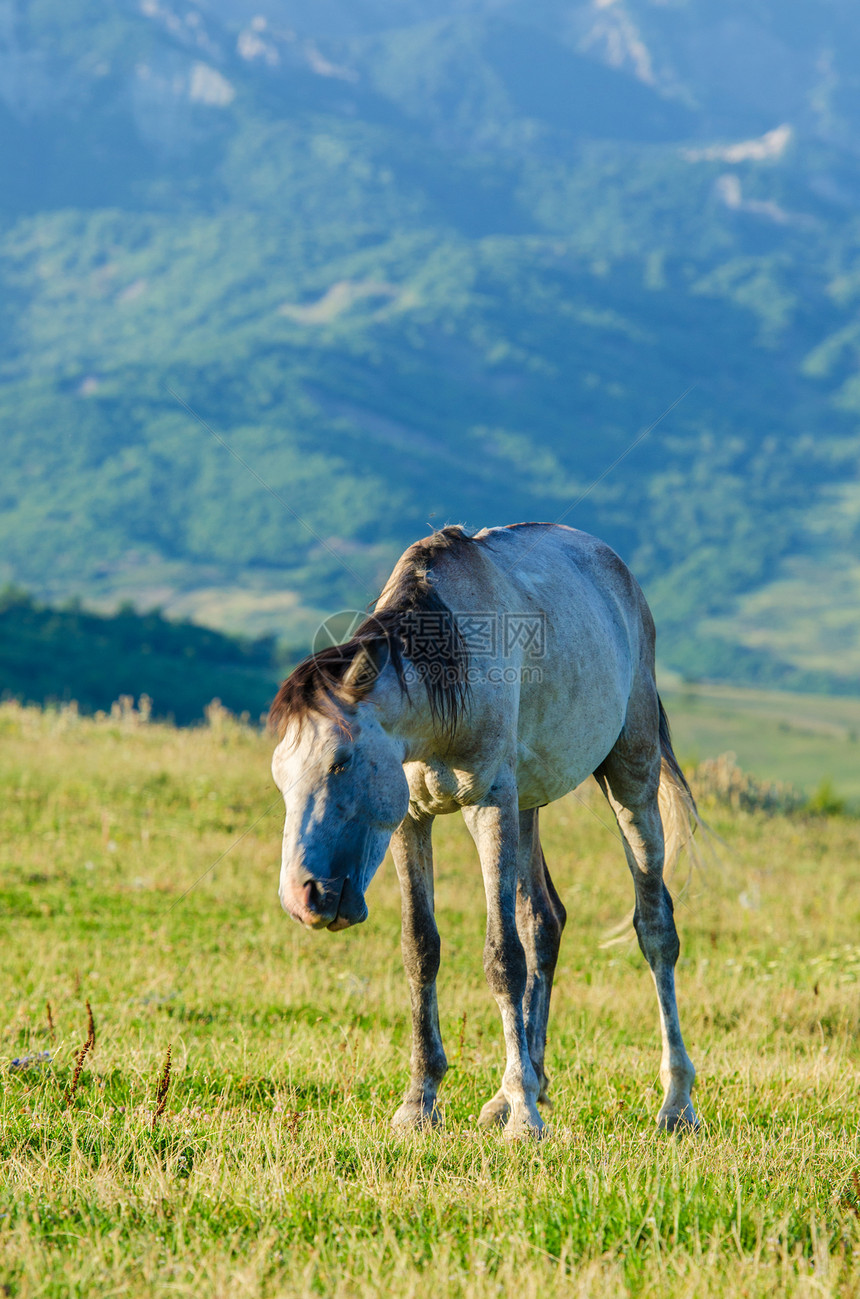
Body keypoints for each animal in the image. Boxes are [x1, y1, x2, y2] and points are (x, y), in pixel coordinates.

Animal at [271, 522, 701, 1143]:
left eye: (340, 763)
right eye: (280, 776)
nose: (304, 897)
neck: (447, 688)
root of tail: (614, 567)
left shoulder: (490, 806)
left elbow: (504, 958)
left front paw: (524, 1118)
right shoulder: (410, 820)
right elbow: (421, 949)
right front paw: (420, 1102)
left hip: (629, 774)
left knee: (655, 929)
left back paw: (675, 1103)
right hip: (529, 805)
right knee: (544, 921)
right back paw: (522, 1085)